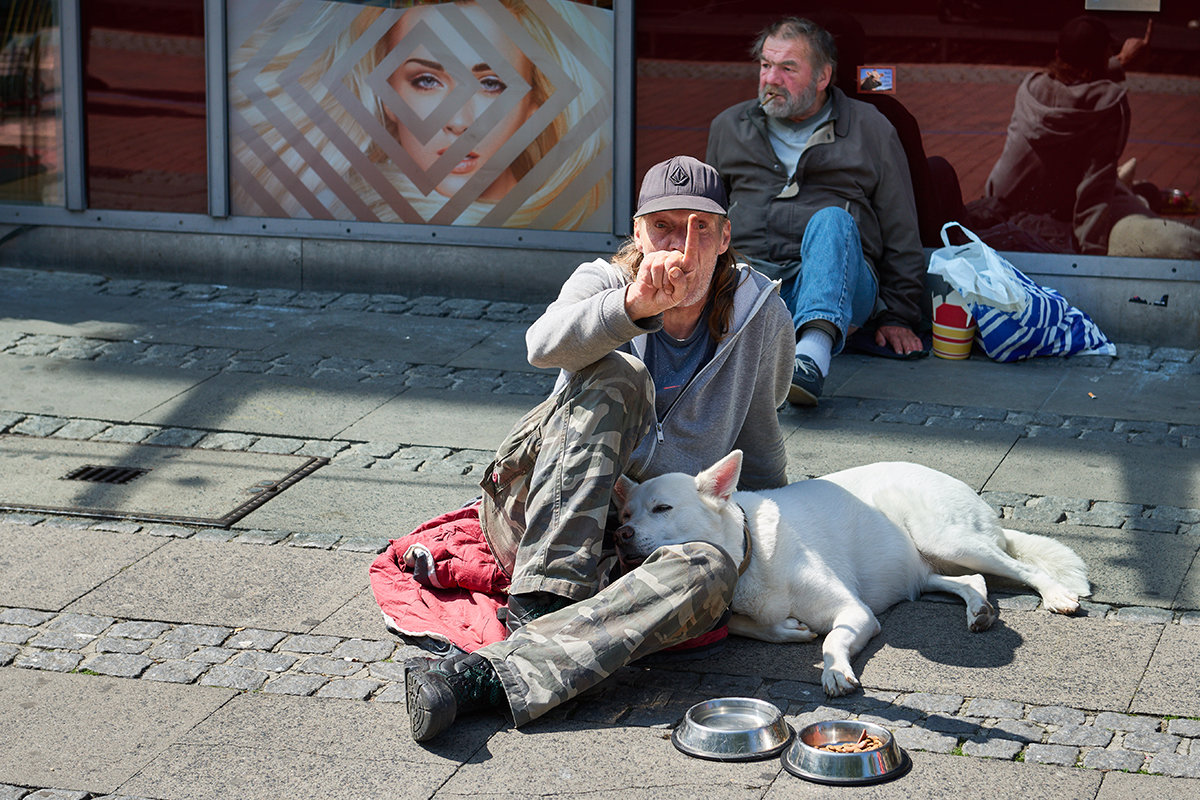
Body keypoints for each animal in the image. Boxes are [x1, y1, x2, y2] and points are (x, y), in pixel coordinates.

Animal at [614, 453, 1094, 695]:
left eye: (662, 508)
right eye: (625, 513)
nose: (619, 534)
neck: (751, 554)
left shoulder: (856, 611)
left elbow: (831, 640)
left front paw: (834, 671)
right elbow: (747, 625)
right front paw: (786, 629)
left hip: (950, 540)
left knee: (1021, 566)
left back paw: (1057, 596)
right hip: (924, 565)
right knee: (969, 582)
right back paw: (978, 610)